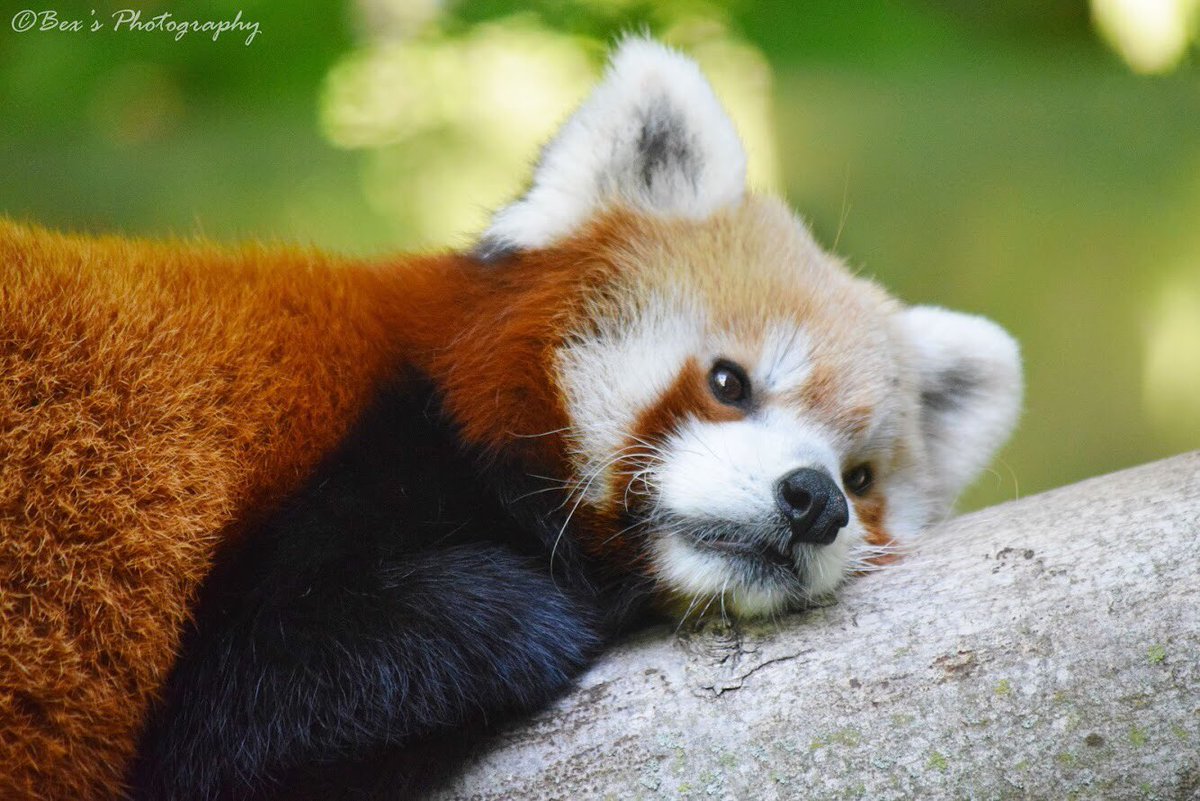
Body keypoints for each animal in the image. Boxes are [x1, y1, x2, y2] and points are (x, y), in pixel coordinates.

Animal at [0, 38, 1021, 800]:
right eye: (730, 383)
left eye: (862, 479)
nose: (813, 500)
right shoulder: (343, 485)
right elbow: (237, 715)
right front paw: (566, 603)